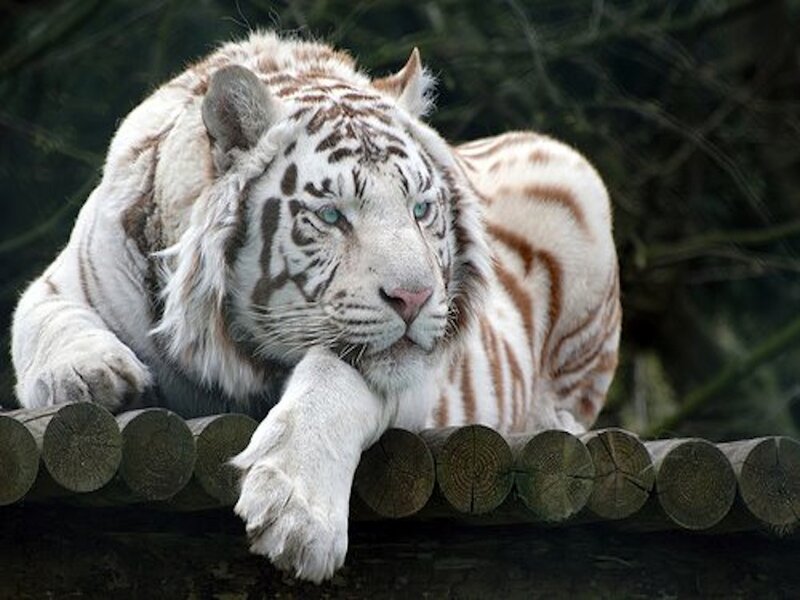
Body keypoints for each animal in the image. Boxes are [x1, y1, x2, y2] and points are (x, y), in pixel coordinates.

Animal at [10, 31, 620, 582]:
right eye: (331, 216)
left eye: (421, 209)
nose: (415, 297)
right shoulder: (65, 278)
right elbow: (45, 318)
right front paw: (89, 372)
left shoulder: (410, 377)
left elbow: (333, 382)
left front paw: (296, 515)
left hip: (572, 174)